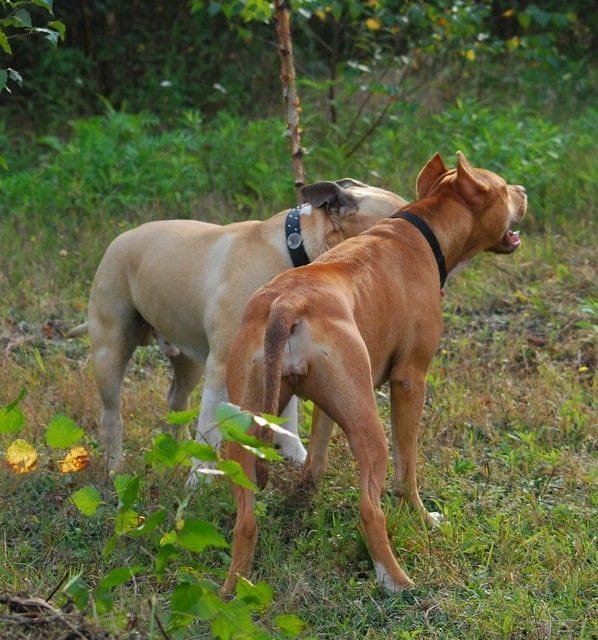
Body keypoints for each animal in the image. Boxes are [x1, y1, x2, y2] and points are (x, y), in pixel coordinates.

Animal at [69, 180, 408, 476]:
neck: (298, 251)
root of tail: (120, 239)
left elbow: (287, 417)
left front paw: (295, 455)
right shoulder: (221, 369)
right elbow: (209, 431)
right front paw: (200, 479)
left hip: (187, 360)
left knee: (176, 400)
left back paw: (177, 453)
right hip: (110, 351)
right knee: (111, 414)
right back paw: (114, 467)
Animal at [223, 154, 528, 596]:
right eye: (504, 190)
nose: (523, 191)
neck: (426, 226)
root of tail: (287, 303)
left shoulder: (330, 405)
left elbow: (316, 458)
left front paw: (302, 500)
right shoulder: (410, 382)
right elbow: (408, 470)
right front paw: (421, 516)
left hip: (245, 433)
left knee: (245, 520)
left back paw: (233, 589)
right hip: (370, 432)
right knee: (370, 508)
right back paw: (398, 581)